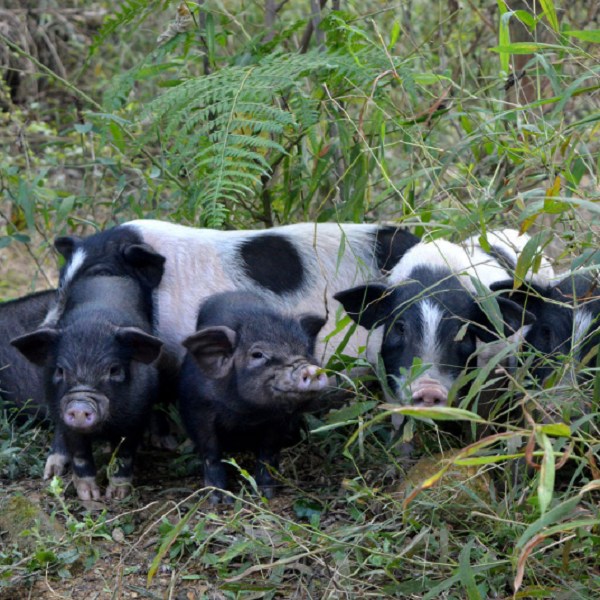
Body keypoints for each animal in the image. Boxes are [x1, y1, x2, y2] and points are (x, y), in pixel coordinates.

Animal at [12, 276, 162, 502]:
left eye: (114, 370)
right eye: (60, 370)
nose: (80, 406)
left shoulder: (137, 415)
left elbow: (125, 454)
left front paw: (117, 495)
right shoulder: (63, 413)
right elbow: (79, 455)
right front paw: (89, 496)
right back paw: (52, 472)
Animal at [179, 290, 328, 502]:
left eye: (307, 348)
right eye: (257, 354)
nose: (311, 369)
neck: (247, 413)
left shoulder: (278, 420)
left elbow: (268, 452)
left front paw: (266, 493)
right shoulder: (197, 408)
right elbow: (210, 451)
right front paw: (218, 499)